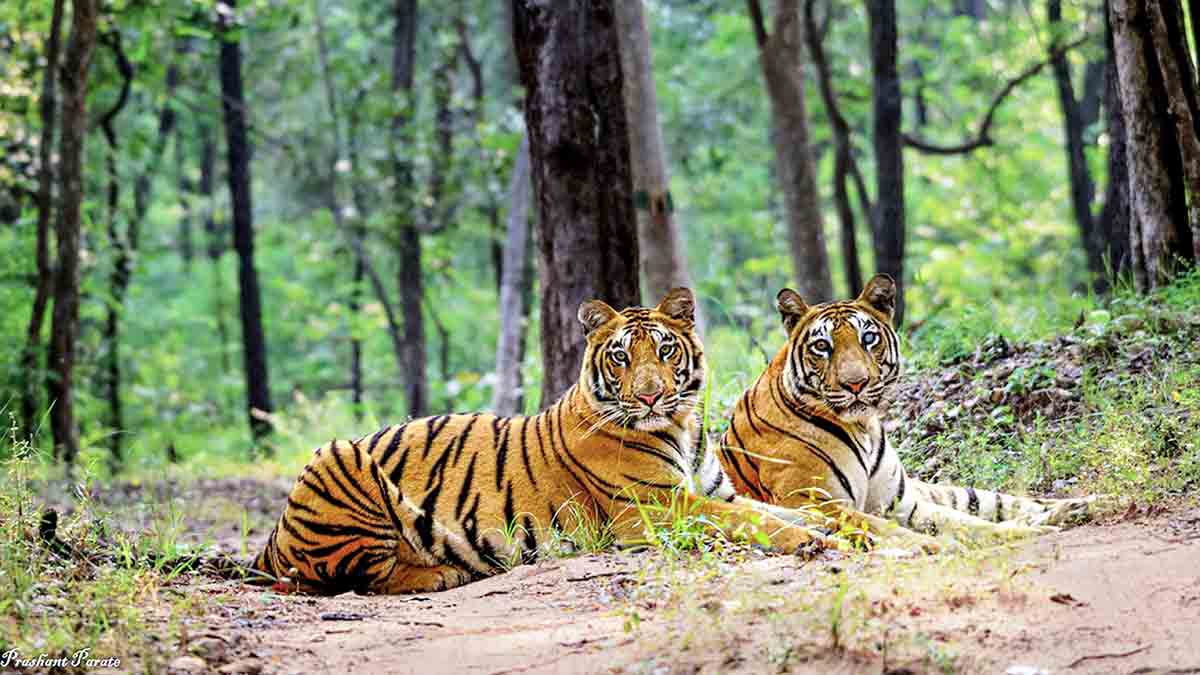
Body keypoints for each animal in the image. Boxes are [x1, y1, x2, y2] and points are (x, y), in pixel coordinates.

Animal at [251, 288, 830, 595]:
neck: (680, 426)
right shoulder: (657, 507)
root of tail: (272, 537)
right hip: (337, 456)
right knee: (363, 577)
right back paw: (443, 573)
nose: (649, 396)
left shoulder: (713, 492)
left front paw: (847, 526)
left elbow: (785, 510)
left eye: (665, 351)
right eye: (622, 356)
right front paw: (810, 541)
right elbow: (755, 520)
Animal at [717, 274, 1095, 546]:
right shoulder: (812, 501)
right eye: (822, 346)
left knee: (1007, 501)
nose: (856, 384)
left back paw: (1082, 504)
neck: (863, 428)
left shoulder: (900, 503)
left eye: (868, 339)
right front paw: (1029, 533)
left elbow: (962, 521)